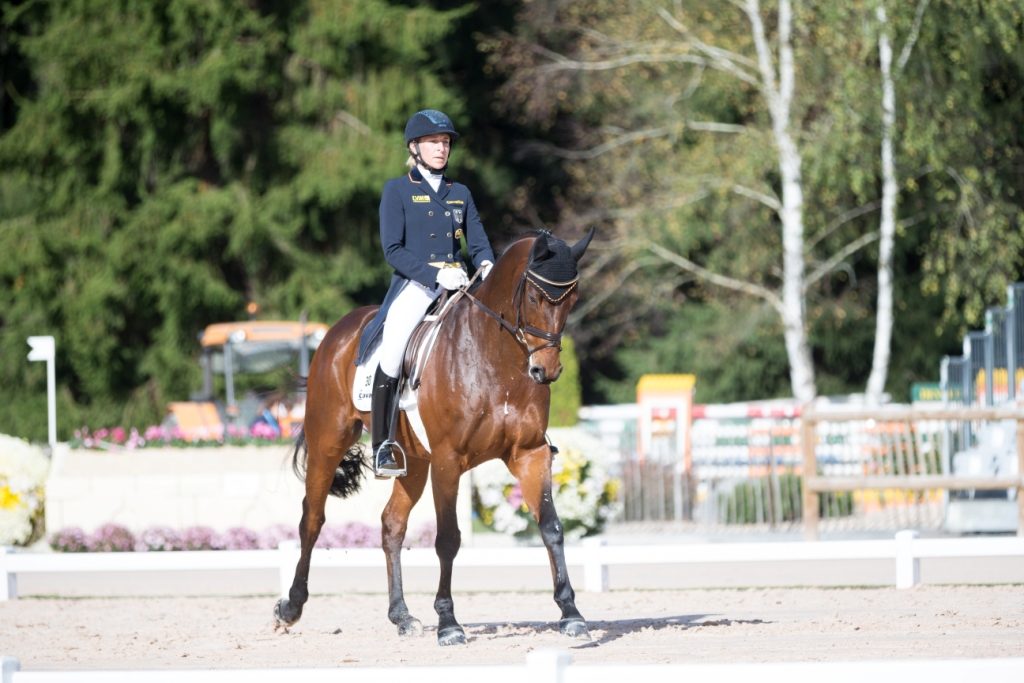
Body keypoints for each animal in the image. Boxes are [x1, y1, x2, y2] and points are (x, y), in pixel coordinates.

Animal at [276, 228, 598, 647]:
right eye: (533, 297)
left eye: (572, 299)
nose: (546, 370)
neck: (496, 358)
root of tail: (337, 331)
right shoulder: (448, 460)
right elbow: (448, 539)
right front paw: (448, 623)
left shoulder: (530, 454)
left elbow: (552, 527)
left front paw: (570, 613)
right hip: (328, 441)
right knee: (312, 520)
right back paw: (290, 607)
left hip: (411, 461)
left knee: (391, 525)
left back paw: (401, 616)